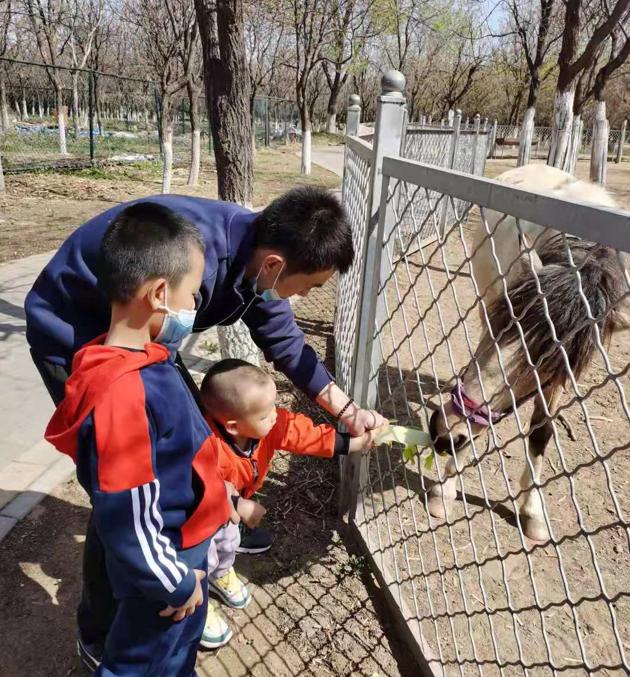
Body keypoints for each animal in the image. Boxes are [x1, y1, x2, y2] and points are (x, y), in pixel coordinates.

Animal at [428, 164, 628, 540]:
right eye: (503, 326)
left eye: (546, 365)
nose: (446, 434)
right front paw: (444, 490)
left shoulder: (560, 379)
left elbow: (541, 432)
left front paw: (532, 511)